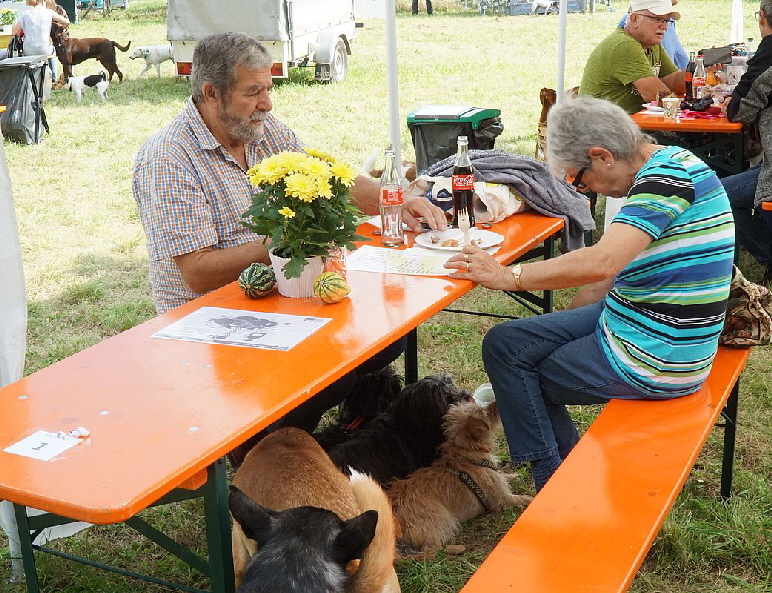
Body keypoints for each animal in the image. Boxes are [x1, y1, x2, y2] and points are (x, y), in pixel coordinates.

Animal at [386, 400, 532, 556]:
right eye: (485, 412)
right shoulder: (503, 498)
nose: (496, 402)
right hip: (442, 520)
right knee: (430, 550)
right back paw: (457, 548)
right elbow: (525, 498)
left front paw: (517, 475)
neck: (467, 453)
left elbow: (506, 476)